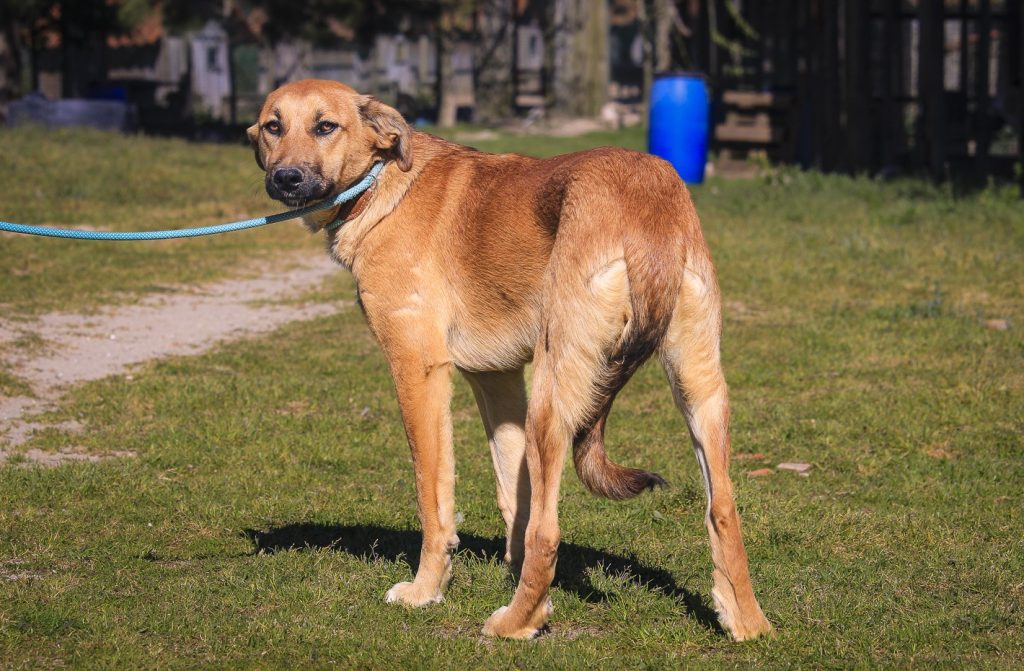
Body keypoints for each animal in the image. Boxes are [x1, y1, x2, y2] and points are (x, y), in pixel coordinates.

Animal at [248, 79, 772, 640]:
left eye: (326, 126)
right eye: (274, 126)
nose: (285, 178)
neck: (381, 180)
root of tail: (643, 195)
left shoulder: (419, 371)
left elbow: (435, 499)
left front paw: (426, 590)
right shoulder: (496, 379)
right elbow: (511, 495)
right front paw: (513, 573)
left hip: (553, 394)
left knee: (549, 530)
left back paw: (516, 624)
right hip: (700, 390)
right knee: (723, 509)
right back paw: (746, 622)